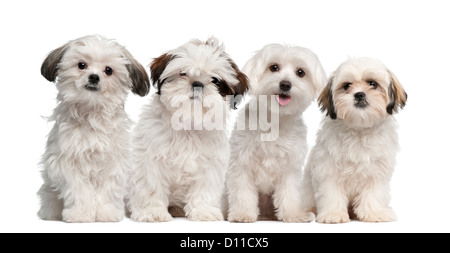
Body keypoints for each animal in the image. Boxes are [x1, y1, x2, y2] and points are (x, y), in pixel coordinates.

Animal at [37, 35, 150, 221]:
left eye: (108, 70)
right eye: (82, 65)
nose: (94, 77)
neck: (91, 113)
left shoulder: (114, 164)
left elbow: (108, 191)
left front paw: (107, 213)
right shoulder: (68, 164)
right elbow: (79, 191)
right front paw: (80, 214)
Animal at [127, 37, 250, 221]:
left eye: (215, 80)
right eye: (182, 73)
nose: (197, 84)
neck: (188, 123)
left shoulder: (209, 164)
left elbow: (204, 189)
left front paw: (204, 211)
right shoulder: (150, 161)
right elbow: (152, 187)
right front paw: (152, 212)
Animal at [227, 44, 326, 222]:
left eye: (300, 72)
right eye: (274, 67)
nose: (285, 84)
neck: (275, 120)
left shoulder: (290, 167)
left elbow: (289, 193)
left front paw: (293, 215)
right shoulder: (242, 162)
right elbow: (242, 192)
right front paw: (242, 214)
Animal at [302, 57, 408, 223]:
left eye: (372, 84)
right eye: (347, 86)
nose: (359, 94)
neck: (359, 129)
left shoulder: (376, 172)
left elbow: (374, 193)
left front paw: (375, 212)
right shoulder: (328, 170)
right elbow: (331, 193)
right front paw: (333, 214)